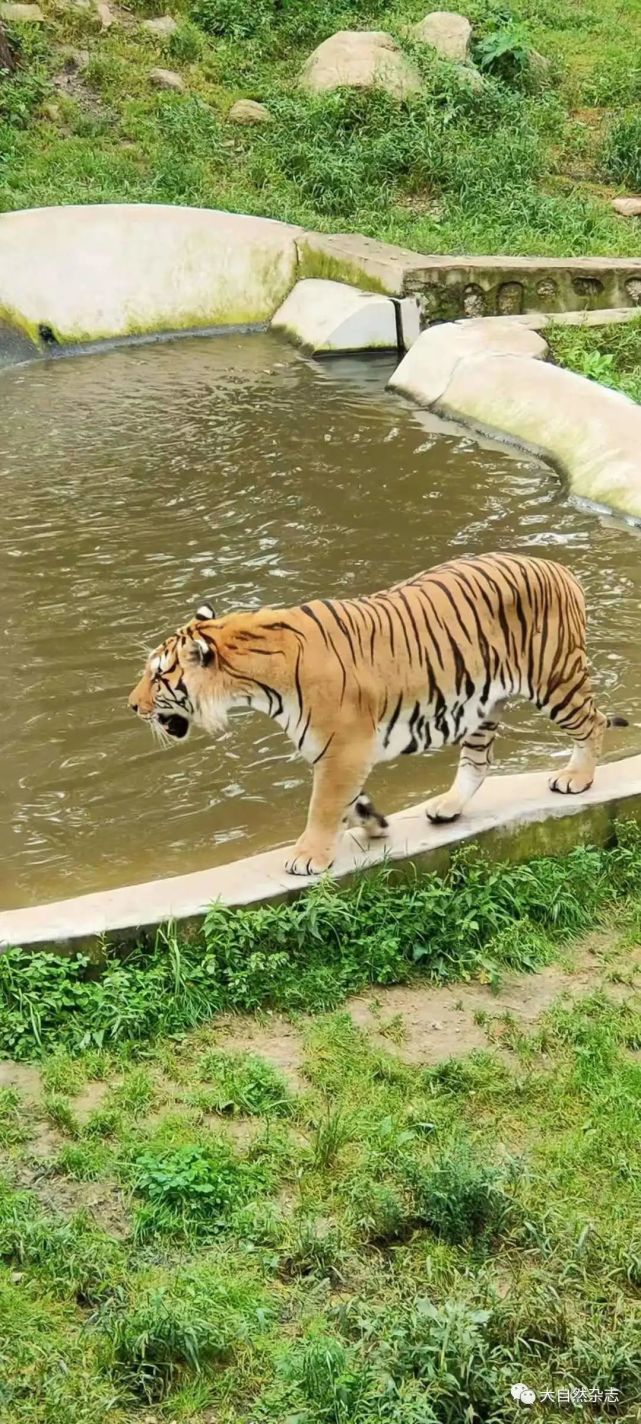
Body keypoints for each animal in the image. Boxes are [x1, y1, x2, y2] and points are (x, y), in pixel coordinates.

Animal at [127, 555, 629, 877]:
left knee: (592, 722)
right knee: (478, 762)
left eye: (158, 676)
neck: (255, 680)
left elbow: (322, 806)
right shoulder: (339, 752)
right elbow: (350, 802)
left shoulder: (342, 750)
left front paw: (307, 857)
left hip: (553, 680)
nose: (132, 705)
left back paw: (576, 778)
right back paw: (447, 807)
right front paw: (374, 823)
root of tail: (560, 569)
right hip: (483, 706)